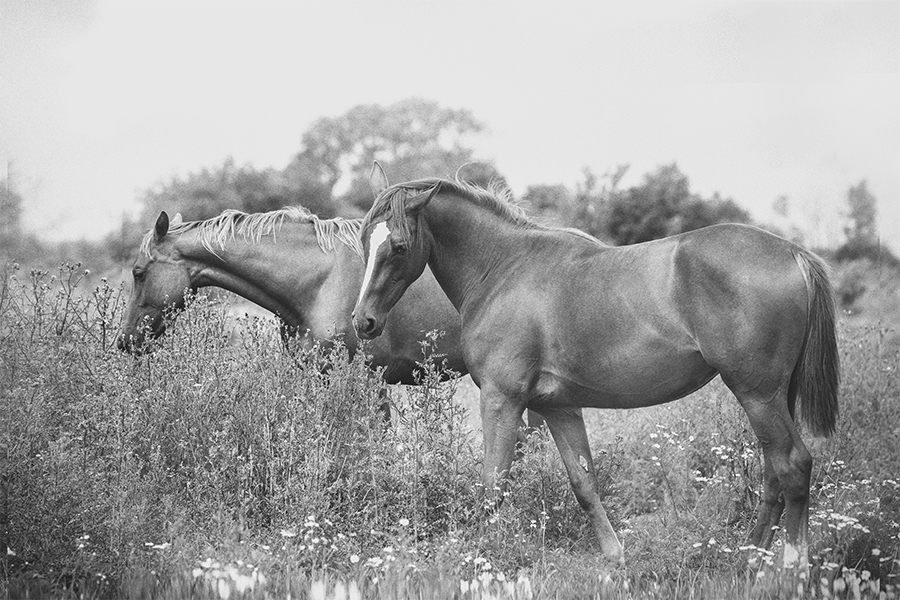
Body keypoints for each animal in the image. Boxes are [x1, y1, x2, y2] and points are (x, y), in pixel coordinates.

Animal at [350, 164, 836, 568]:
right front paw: (614, 557)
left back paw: (791, 567)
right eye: (362, 239)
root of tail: (793, 253)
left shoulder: (501, 399)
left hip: (758, 394)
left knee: (793, 466)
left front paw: (481, 557)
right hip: (773, 397)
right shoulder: (558, 408)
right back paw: (750, 561)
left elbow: (493, 484)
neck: (504, 269)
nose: (363, 321)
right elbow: (583, 482)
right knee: (773, 473)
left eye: (398, 246)